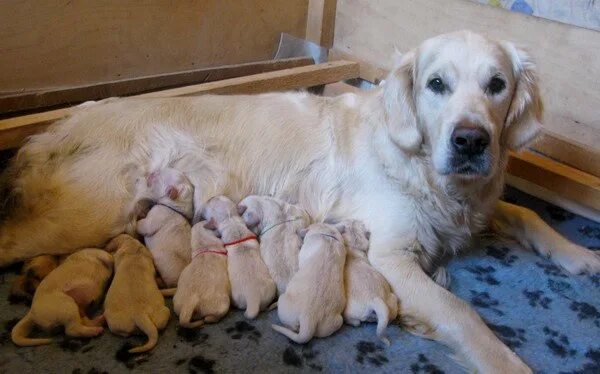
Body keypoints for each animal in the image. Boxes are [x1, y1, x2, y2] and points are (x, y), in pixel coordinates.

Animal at [1, 30, 600, 372]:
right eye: (436, 84)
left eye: (497, 84)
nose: (472, 141)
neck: (426, 168)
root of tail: (56, 125)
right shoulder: (388, 256)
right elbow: (464, 313)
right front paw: (509, 363)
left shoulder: (471, 207)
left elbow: (525, 211)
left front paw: (579, 255)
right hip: (86, 212)